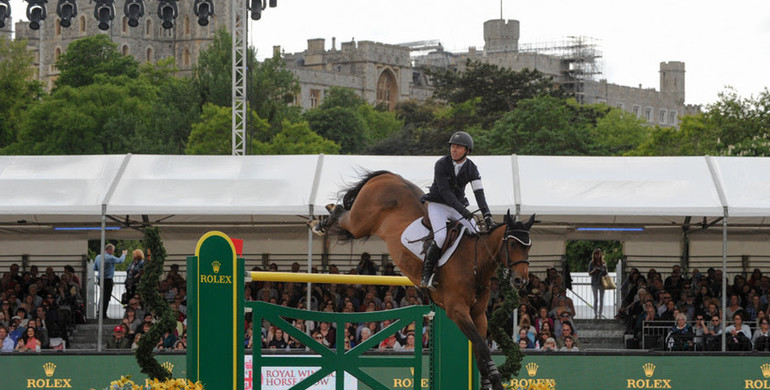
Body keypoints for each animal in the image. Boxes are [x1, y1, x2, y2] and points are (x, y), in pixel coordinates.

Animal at [308, 171, 532, 390]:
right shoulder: (457, 311)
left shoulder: (478, 314)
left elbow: (480, 354)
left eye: (528, 246)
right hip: (360, 222)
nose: (521, 281)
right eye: (512, 244)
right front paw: (498, 384)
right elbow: (483, 349)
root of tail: (388, 175)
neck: (473, 263)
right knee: (342, 214)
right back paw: (320, 222)